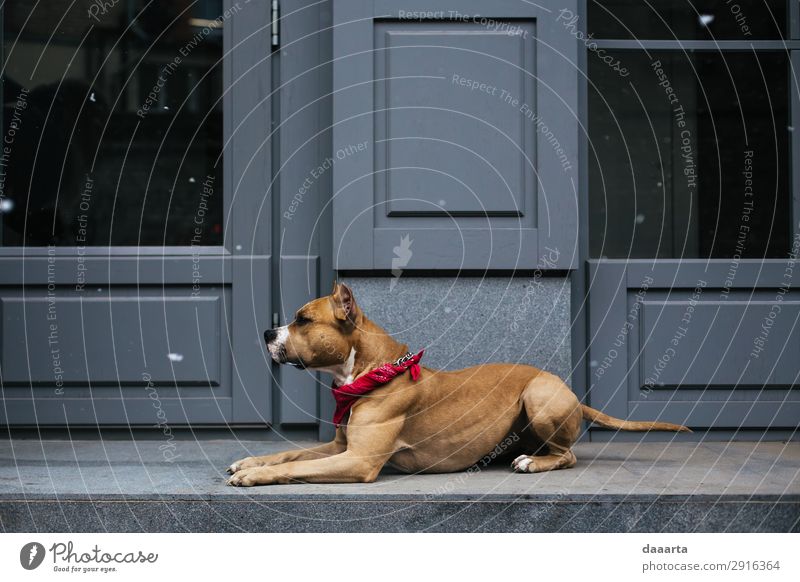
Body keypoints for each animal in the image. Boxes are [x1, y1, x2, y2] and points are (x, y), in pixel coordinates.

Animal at [225, 282, 688, 488]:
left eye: (303, 319)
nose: (267, 333)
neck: (371, 371)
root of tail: (572, 393)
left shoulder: (357, 460)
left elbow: (296, 465)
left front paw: (255, 476)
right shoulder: (340, 447)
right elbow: (289, 452)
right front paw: (250, 462)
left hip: (539, 396)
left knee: (568, 455)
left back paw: (533, 462)